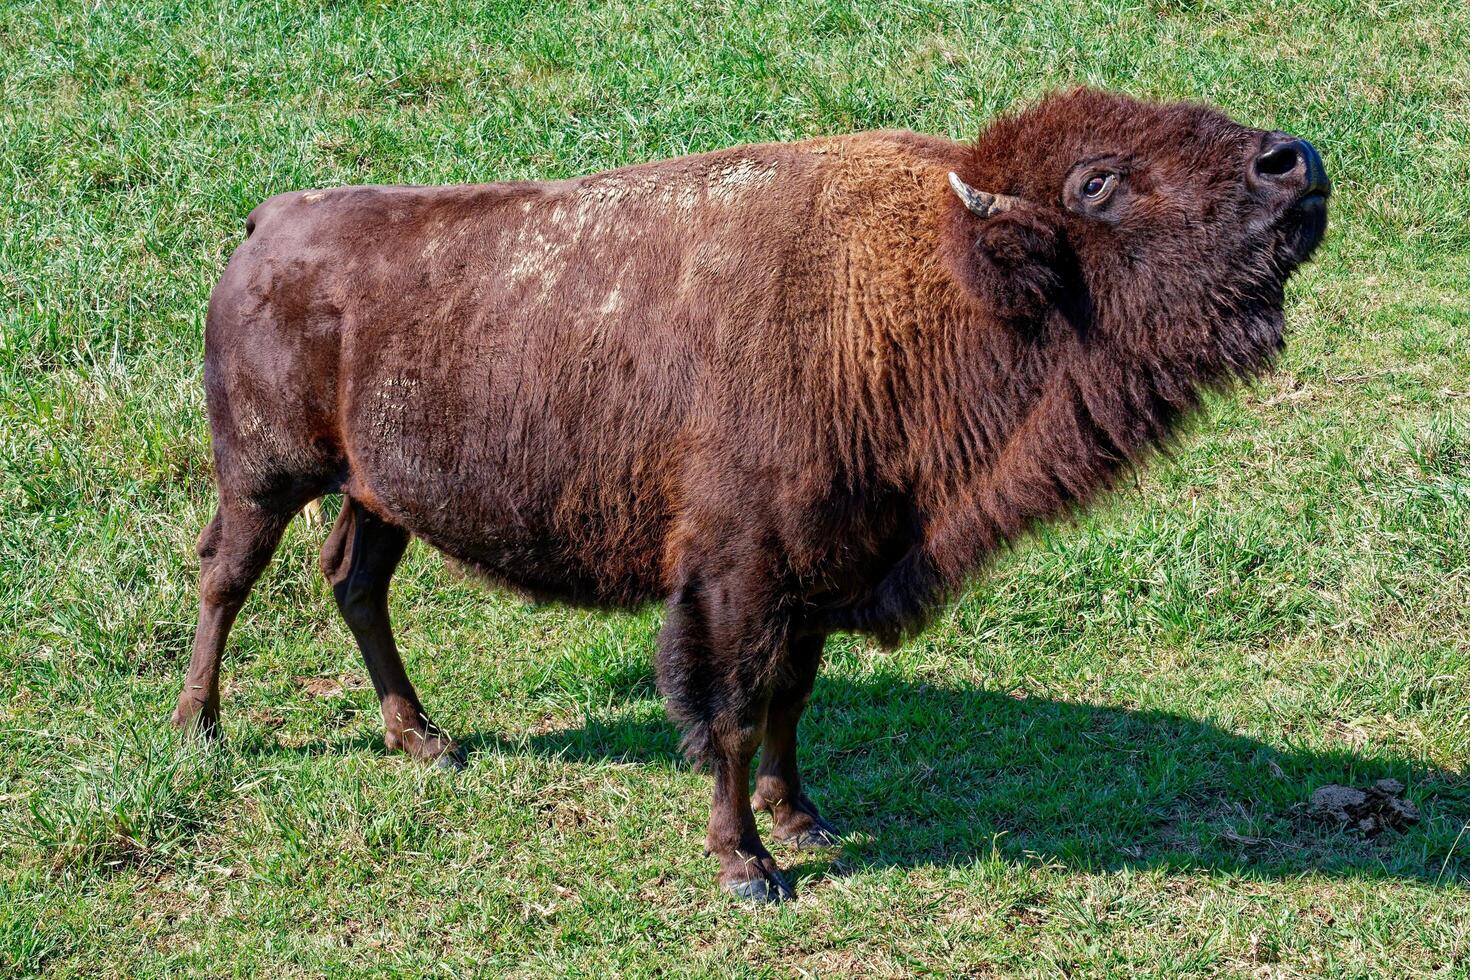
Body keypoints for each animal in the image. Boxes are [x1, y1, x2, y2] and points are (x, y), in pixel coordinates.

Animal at [174, 88, 1334, 899]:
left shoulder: (819, 573)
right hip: (265, 474)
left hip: (376, 494)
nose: (1297, 161)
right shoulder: (736, 578)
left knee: (355, 582)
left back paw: (423, 738)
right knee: (227, 577)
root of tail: (269, 222)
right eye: (1098, 182)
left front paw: (805, 817)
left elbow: (790, 699)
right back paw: (201, 729)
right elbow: (728, 711)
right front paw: (748, 865)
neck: (915, 282)